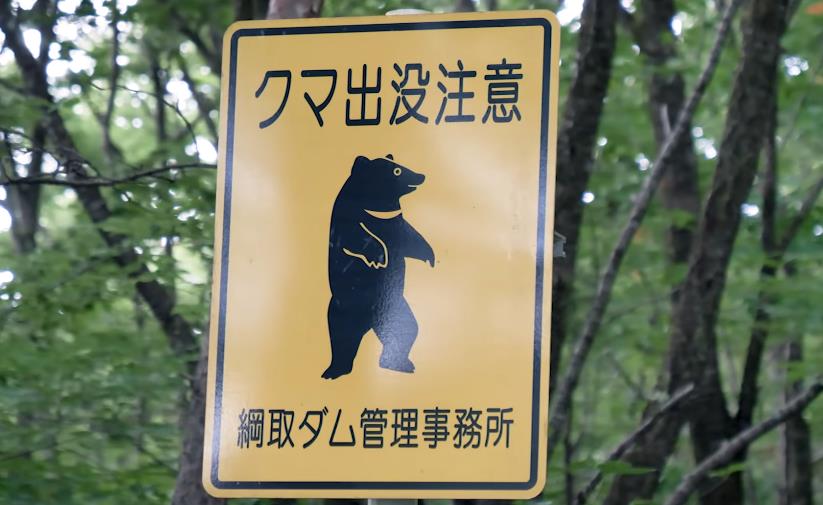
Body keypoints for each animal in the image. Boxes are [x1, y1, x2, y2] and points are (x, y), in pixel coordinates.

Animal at [323, 154, 435, 380]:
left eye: (400, 166)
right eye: (396, 171)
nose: (422, 175)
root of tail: (370, 324)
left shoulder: (397, 224)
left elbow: (413, 237)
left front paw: (430, 257)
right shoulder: (351, 217)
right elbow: (357, 237)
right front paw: (378, 258)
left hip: (397, 308)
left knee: (406, 330)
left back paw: (400, 363)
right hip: (344, 308)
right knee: (341, 337)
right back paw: (334, 370)